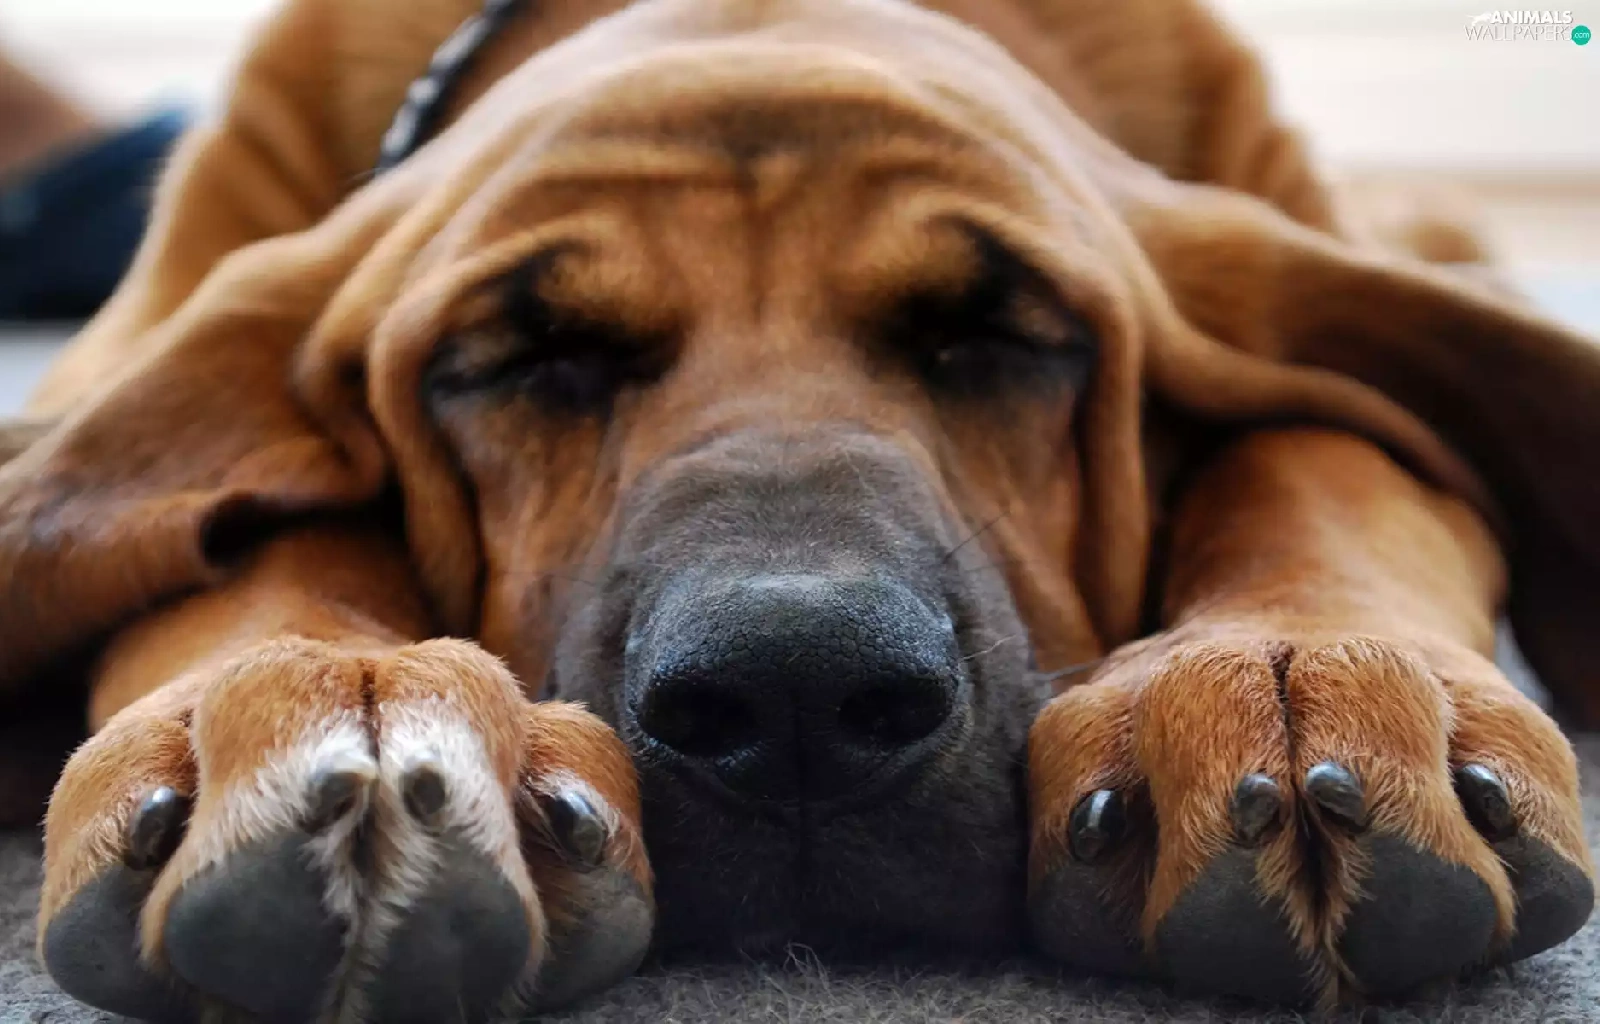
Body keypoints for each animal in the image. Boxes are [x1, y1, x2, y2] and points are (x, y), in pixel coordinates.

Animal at [4, 0, 1600, 1018]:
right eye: (531, 358)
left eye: (992, 334)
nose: (795, 697)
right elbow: (249, 536)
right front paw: (331, 698)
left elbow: (1326, 454)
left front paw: (1283, 679)